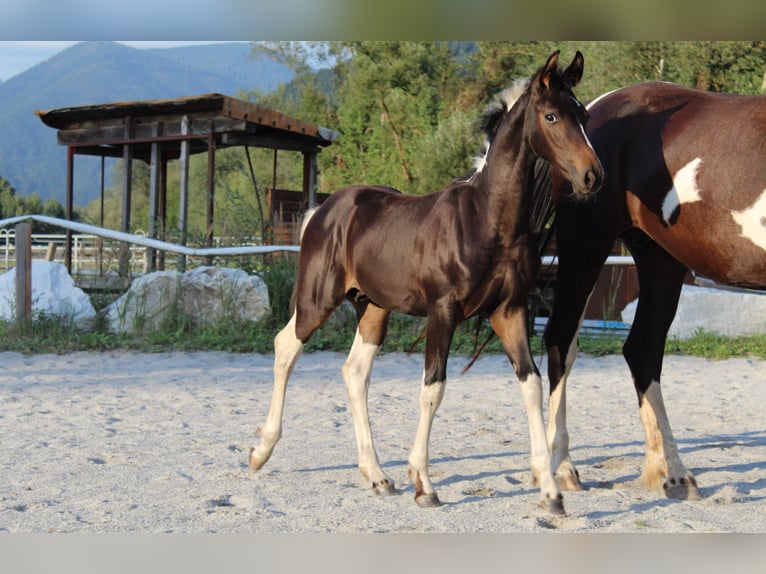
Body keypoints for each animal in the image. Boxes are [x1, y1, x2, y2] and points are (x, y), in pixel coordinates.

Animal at [247, 50, 603, 515]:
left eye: (583, 114)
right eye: (551, 116)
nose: (593, 177)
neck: (488, 220)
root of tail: (321, 212)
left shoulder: (509, 312)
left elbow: (532, 384)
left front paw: (549, 491)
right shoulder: (443, 311)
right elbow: (433, 387)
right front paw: (423, 483)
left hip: (373, 308)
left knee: (355, 372)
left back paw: (377, 476)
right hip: (317, 299)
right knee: (285, 347)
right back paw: (261, 451)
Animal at [541, 81, 766, 500]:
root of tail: (595, 107)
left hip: (660, 259)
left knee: (642, 349)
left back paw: (670, 474)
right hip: (587, 246)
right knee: (562, 342)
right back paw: (563, 469)